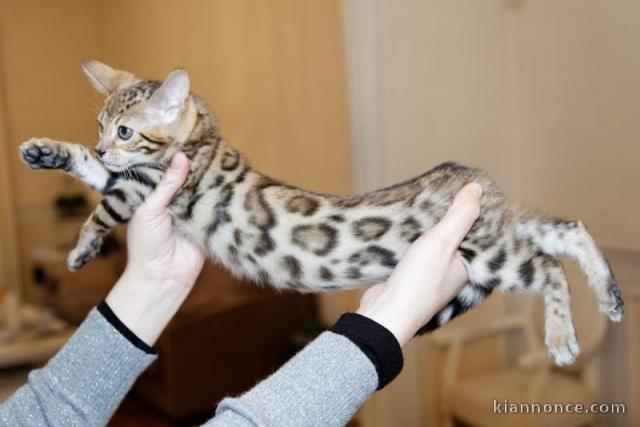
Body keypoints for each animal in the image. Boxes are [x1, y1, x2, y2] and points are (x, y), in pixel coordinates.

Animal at [20, 60, 620, 366]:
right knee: (567, 229)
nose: (105, 146)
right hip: (501, 231)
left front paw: (80, 246)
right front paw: (45, 152)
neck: (205, 137)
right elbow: (90, 172)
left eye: (125, 130)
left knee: (549, 268)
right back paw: (610, 292)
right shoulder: (134, 181)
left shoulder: (149, 187)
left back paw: (562, 338)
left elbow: (103, 203)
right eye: (100, 127)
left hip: (487, 250)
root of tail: (475, 178)